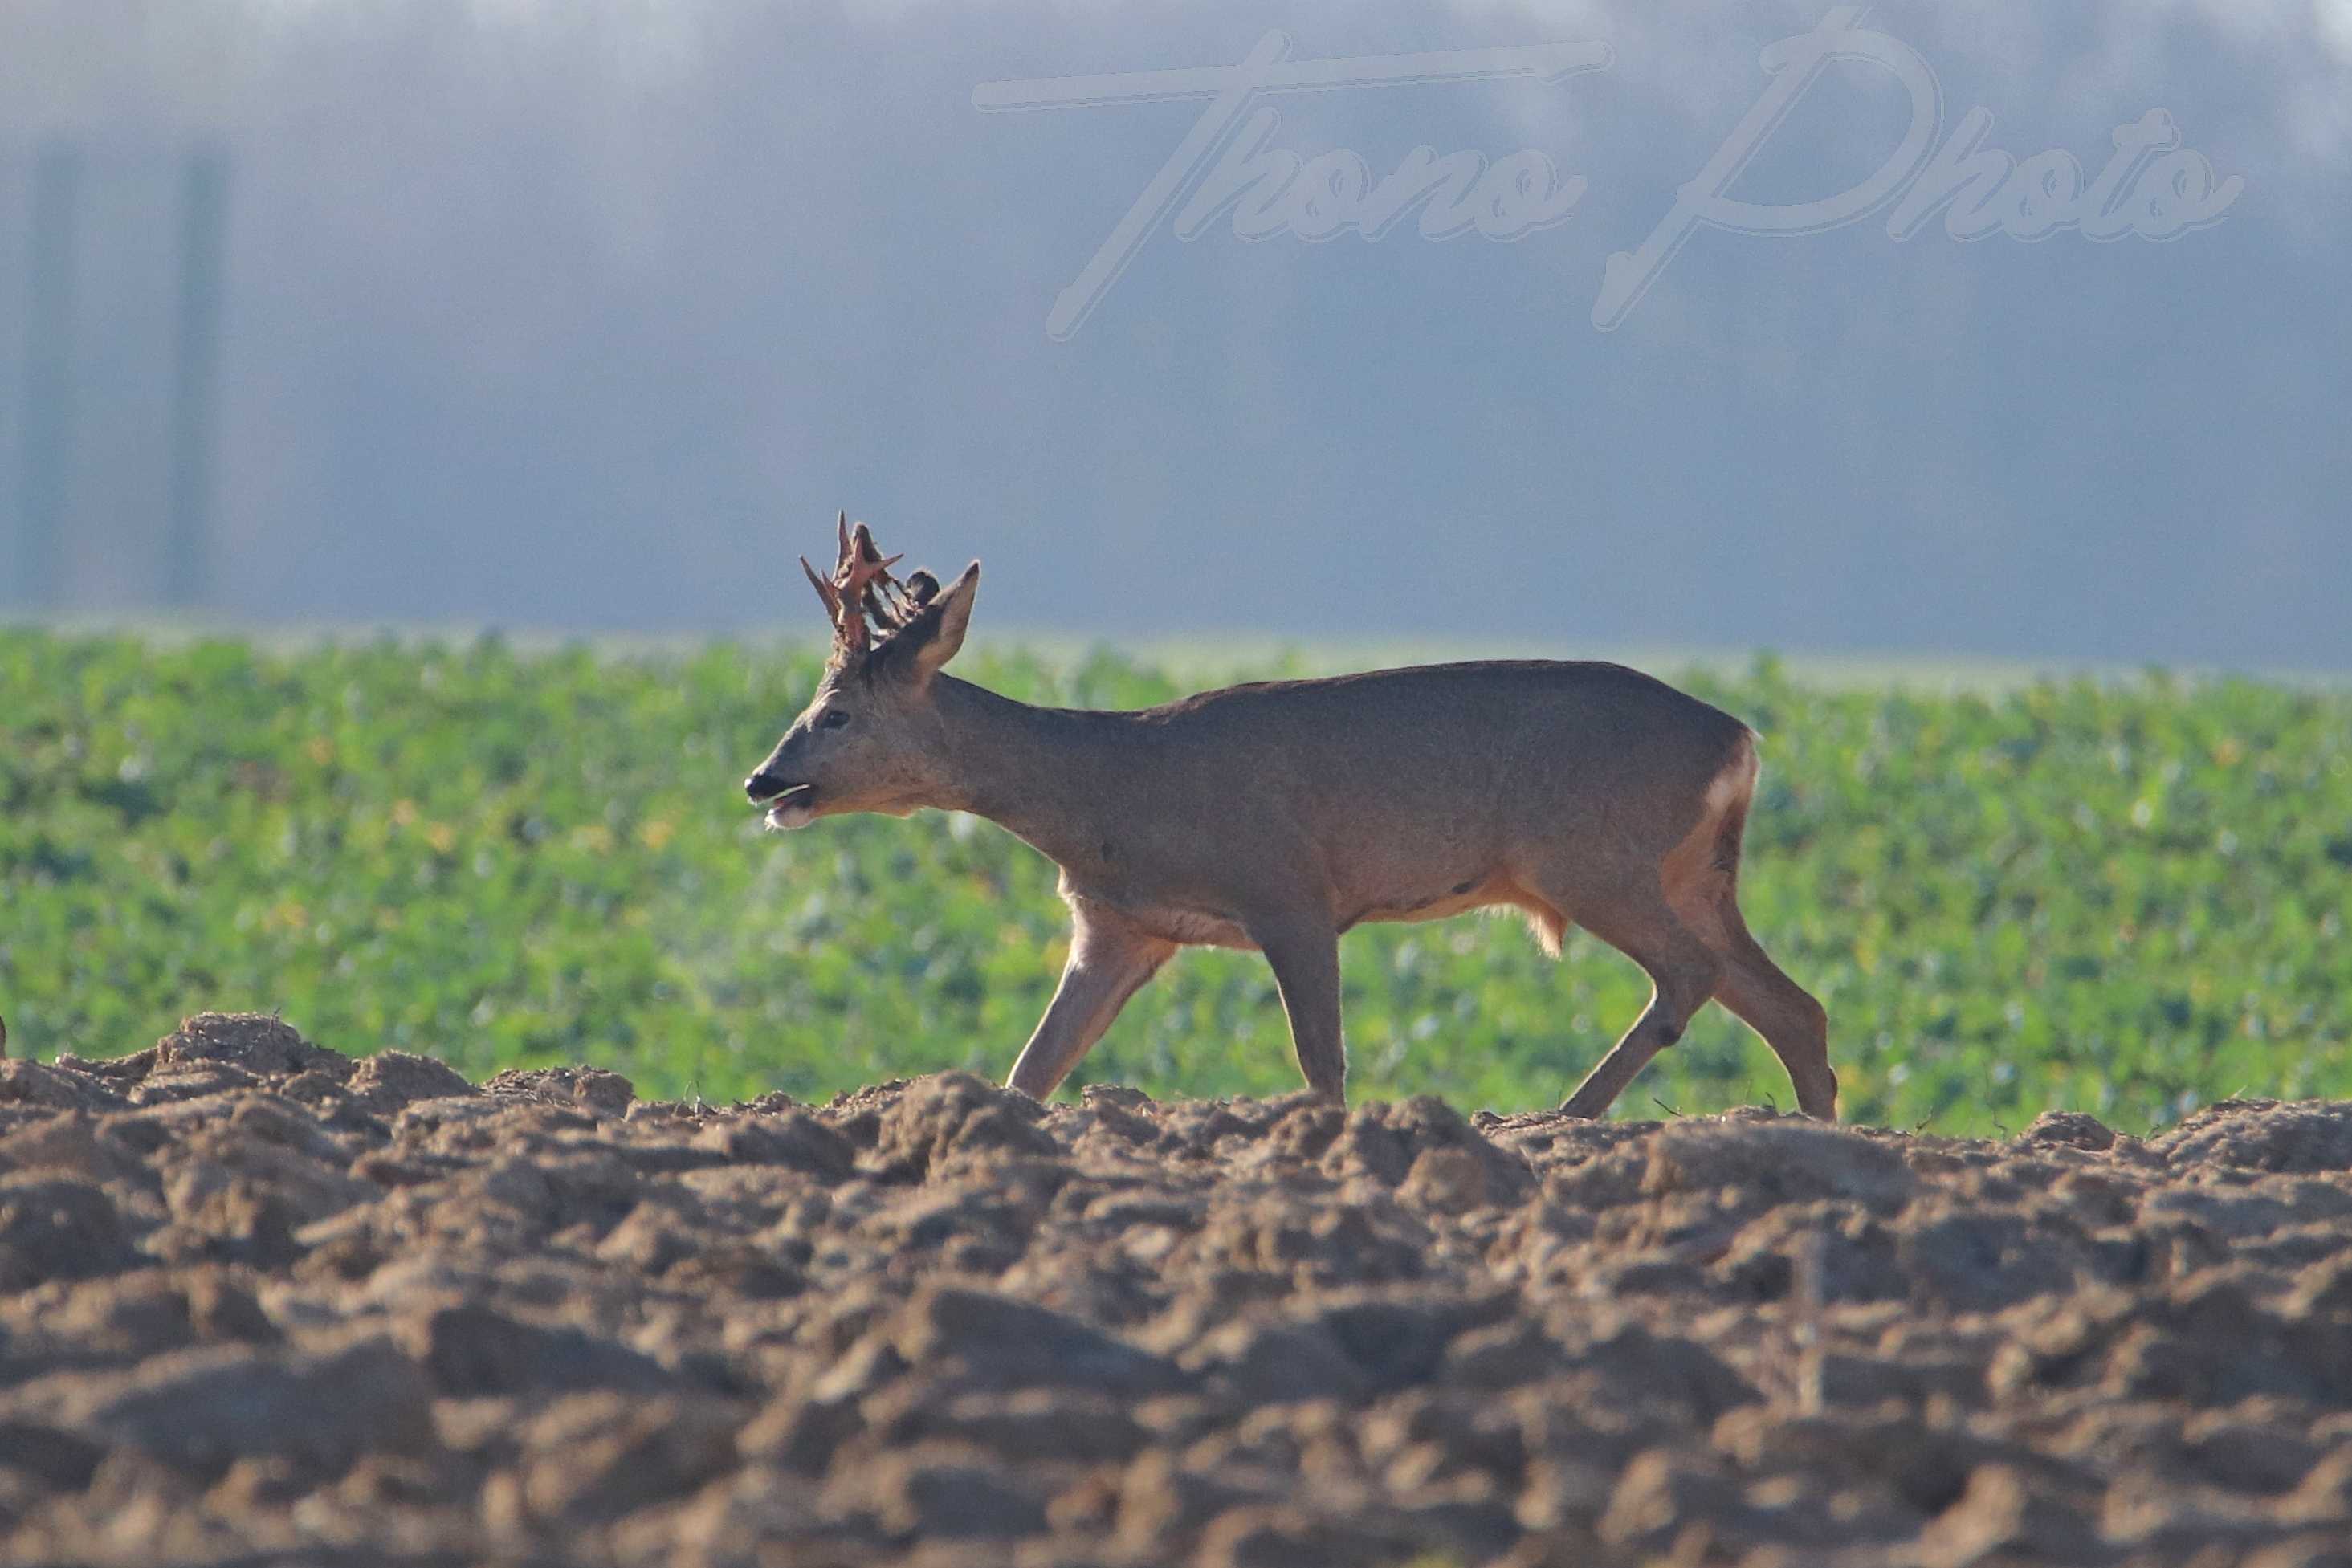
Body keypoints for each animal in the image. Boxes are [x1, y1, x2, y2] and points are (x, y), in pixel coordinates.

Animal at [748, 522, 1834, 1123]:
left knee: (1689, 975)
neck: (1108, 792)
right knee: (1793, 1004)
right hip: (1695, 872)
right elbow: (1030, 1071)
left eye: (835, 714)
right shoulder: (1118, 929)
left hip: (1591, 855)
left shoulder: (1291, 890)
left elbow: (1322, 1064)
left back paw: (1559, 1116)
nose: (763, 781)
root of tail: (1739, 738)